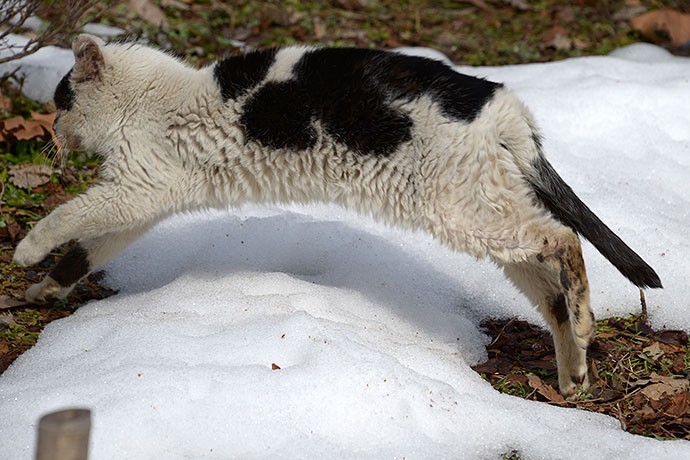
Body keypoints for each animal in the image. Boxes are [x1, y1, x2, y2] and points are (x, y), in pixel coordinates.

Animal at [12, 35, 656, 396]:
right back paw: (573, 371)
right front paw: (45, 288)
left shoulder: (136, 188)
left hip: (462, 210)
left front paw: (25, 251)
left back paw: (585, 328)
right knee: (549, 285)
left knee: (563, 237)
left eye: (61, 99)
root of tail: (505, 105)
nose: (51, 132)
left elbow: (67, 216)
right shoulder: (140, 203)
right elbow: (87, 246)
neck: (151, 101)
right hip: (489, 217)